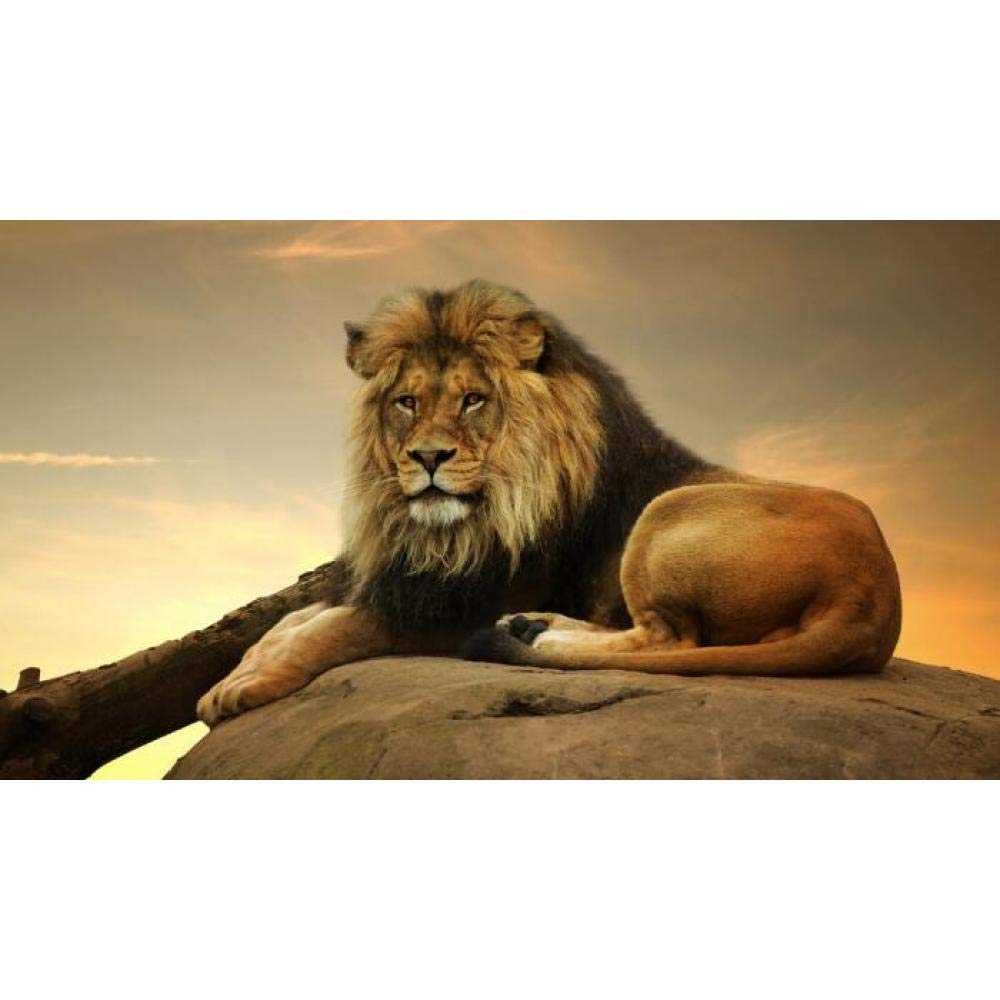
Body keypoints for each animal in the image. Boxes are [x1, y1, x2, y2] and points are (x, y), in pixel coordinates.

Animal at [196, 279, 902, 727]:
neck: (452, 530)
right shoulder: (409, 580)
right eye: (406, 402)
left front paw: (248, 686)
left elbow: (334, 629)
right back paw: (534, 629)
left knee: (669, 639)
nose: (428, 458)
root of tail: (875, 599)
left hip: (665, 514)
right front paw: (234, 675)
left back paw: (537, 636)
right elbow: (294, 620)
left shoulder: (456, 603)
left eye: (472, 400)